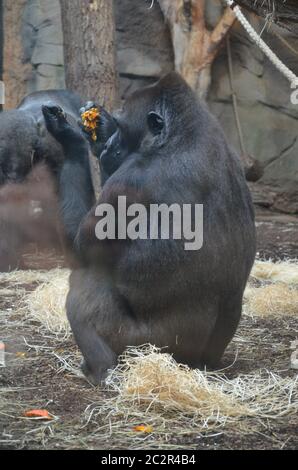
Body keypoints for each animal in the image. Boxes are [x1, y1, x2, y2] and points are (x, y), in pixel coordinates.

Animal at [42, 71, 256, 384]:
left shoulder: (128, 181)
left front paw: (70, 138)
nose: (110, 145)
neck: (182, 134)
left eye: (123, 128)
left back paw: (100, 368)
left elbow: (79, 252)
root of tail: (193, 366)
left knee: (85, 284)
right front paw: (98, 128)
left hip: (147, 347)